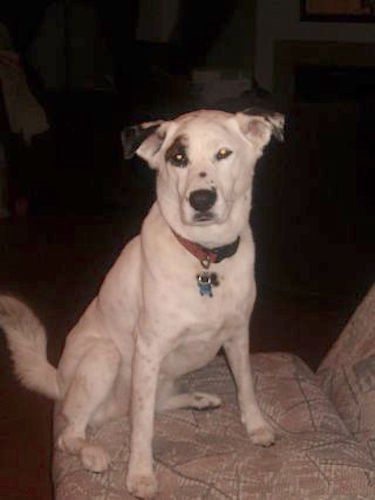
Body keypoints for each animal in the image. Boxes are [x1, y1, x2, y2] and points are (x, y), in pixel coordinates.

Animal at [0, 107, 284, 498]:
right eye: (177, 158)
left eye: (224, 153)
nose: (201, 200)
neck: (204, 257)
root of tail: (57, 380)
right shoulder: (149, 349)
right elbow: (143, 427)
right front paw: (139, 475)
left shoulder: (238, 335)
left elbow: (246, 386)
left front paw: (256, 427)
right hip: (104, 358)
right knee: (72, 433)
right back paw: (92, 453)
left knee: (155, 404)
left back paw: (198, 400)